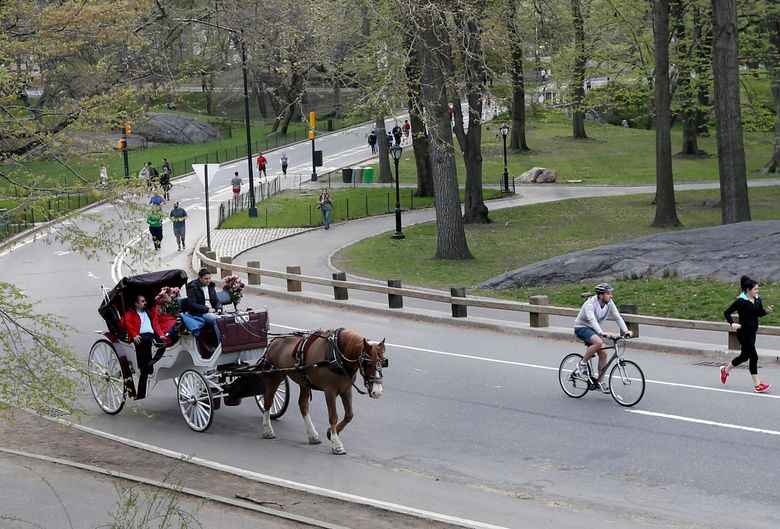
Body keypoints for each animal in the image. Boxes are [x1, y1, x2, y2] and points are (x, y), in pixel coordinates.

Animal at [258, 326, 386, 454]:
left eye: (384, 362)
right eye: (368, 363)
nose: (377, 392)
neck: (337, 355)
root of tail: (274, 341)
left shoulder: (346, 389)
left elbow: (349, 415)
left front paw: (332, 432)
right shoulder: (330, 391)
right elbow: (333, 416)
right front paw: (336, 443)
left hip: (304, 382)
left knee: (303, 405)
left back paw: (312, 434)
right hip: (276, 375)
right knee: (268, 401)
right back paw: (268, 429)